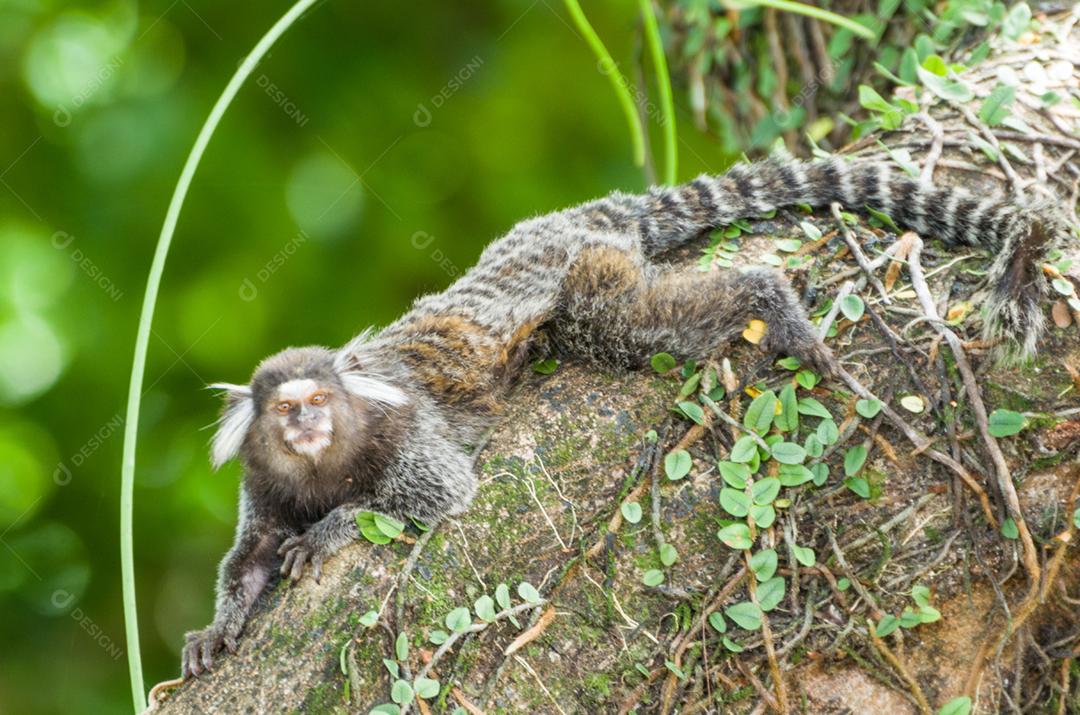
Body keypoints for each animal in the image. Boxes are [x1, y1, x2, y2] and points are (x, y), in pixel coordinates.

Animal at [181, 155, 1071, 677]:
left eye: (318, 402)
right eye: (285, 409)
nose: (305, 426)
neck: (321, 464)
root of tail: (584, 213)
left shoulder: (405, 434)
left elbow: (434, 493)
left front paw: (332, 530)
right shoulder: (265, 487)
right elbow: (247, 560)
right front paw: (218, 627)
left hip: (581, 278)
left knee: (617, 319)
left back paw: (773, 302)